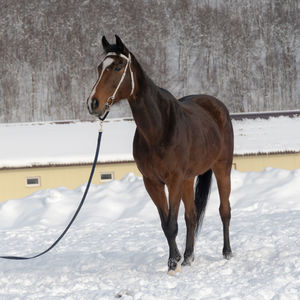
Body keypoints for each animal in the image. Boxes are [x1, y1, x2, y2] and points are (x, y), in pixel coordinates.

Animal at [85, 35, 233, 274]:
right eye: (99, 67)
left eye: (117, 67)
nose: (93, 103)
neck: (159, 128)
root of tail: (216, 105)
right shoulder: (152, 182)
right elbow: (166, 224)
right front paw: (177, 260)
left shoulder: (173, 181)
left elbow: (172, 224)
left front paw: (174, 263)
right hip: (188, 178)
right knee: (191, 216)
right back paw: (189, 257)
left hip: (222, 168)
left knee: (224, 210)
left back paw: (227, 253)